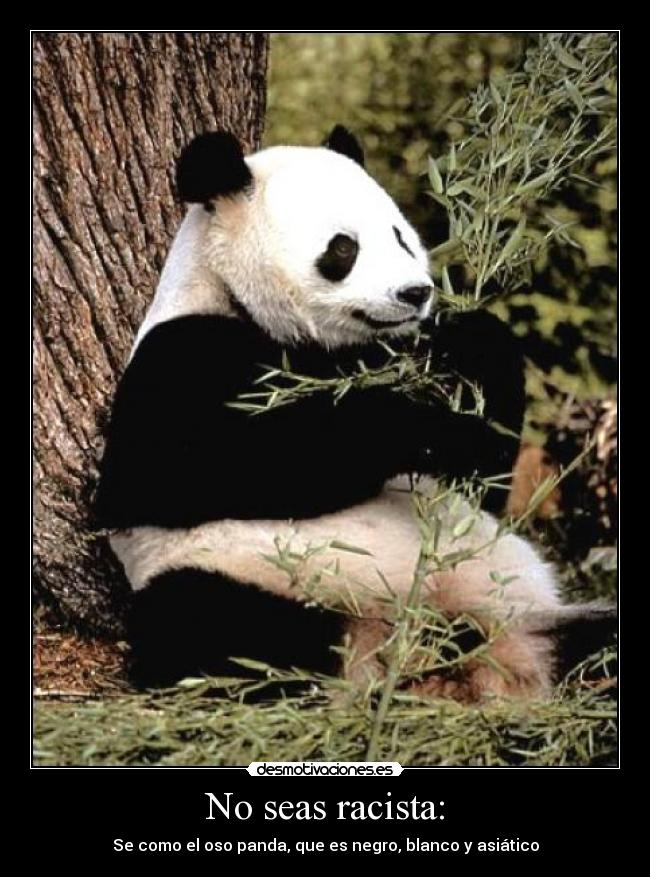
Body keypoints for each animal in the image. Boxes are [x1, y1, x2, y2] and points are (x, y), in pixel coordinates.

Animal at [95, 126, 608, 702]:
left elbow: (482, 481)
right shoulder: (180, 357)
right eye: (344, 248)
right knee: (211, 623)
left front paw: (470, 347)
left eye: (400, 236)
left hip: (515, 602)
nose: (416, 293)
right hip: (259, 581)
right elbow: (186, 473)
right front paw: (419, 423)